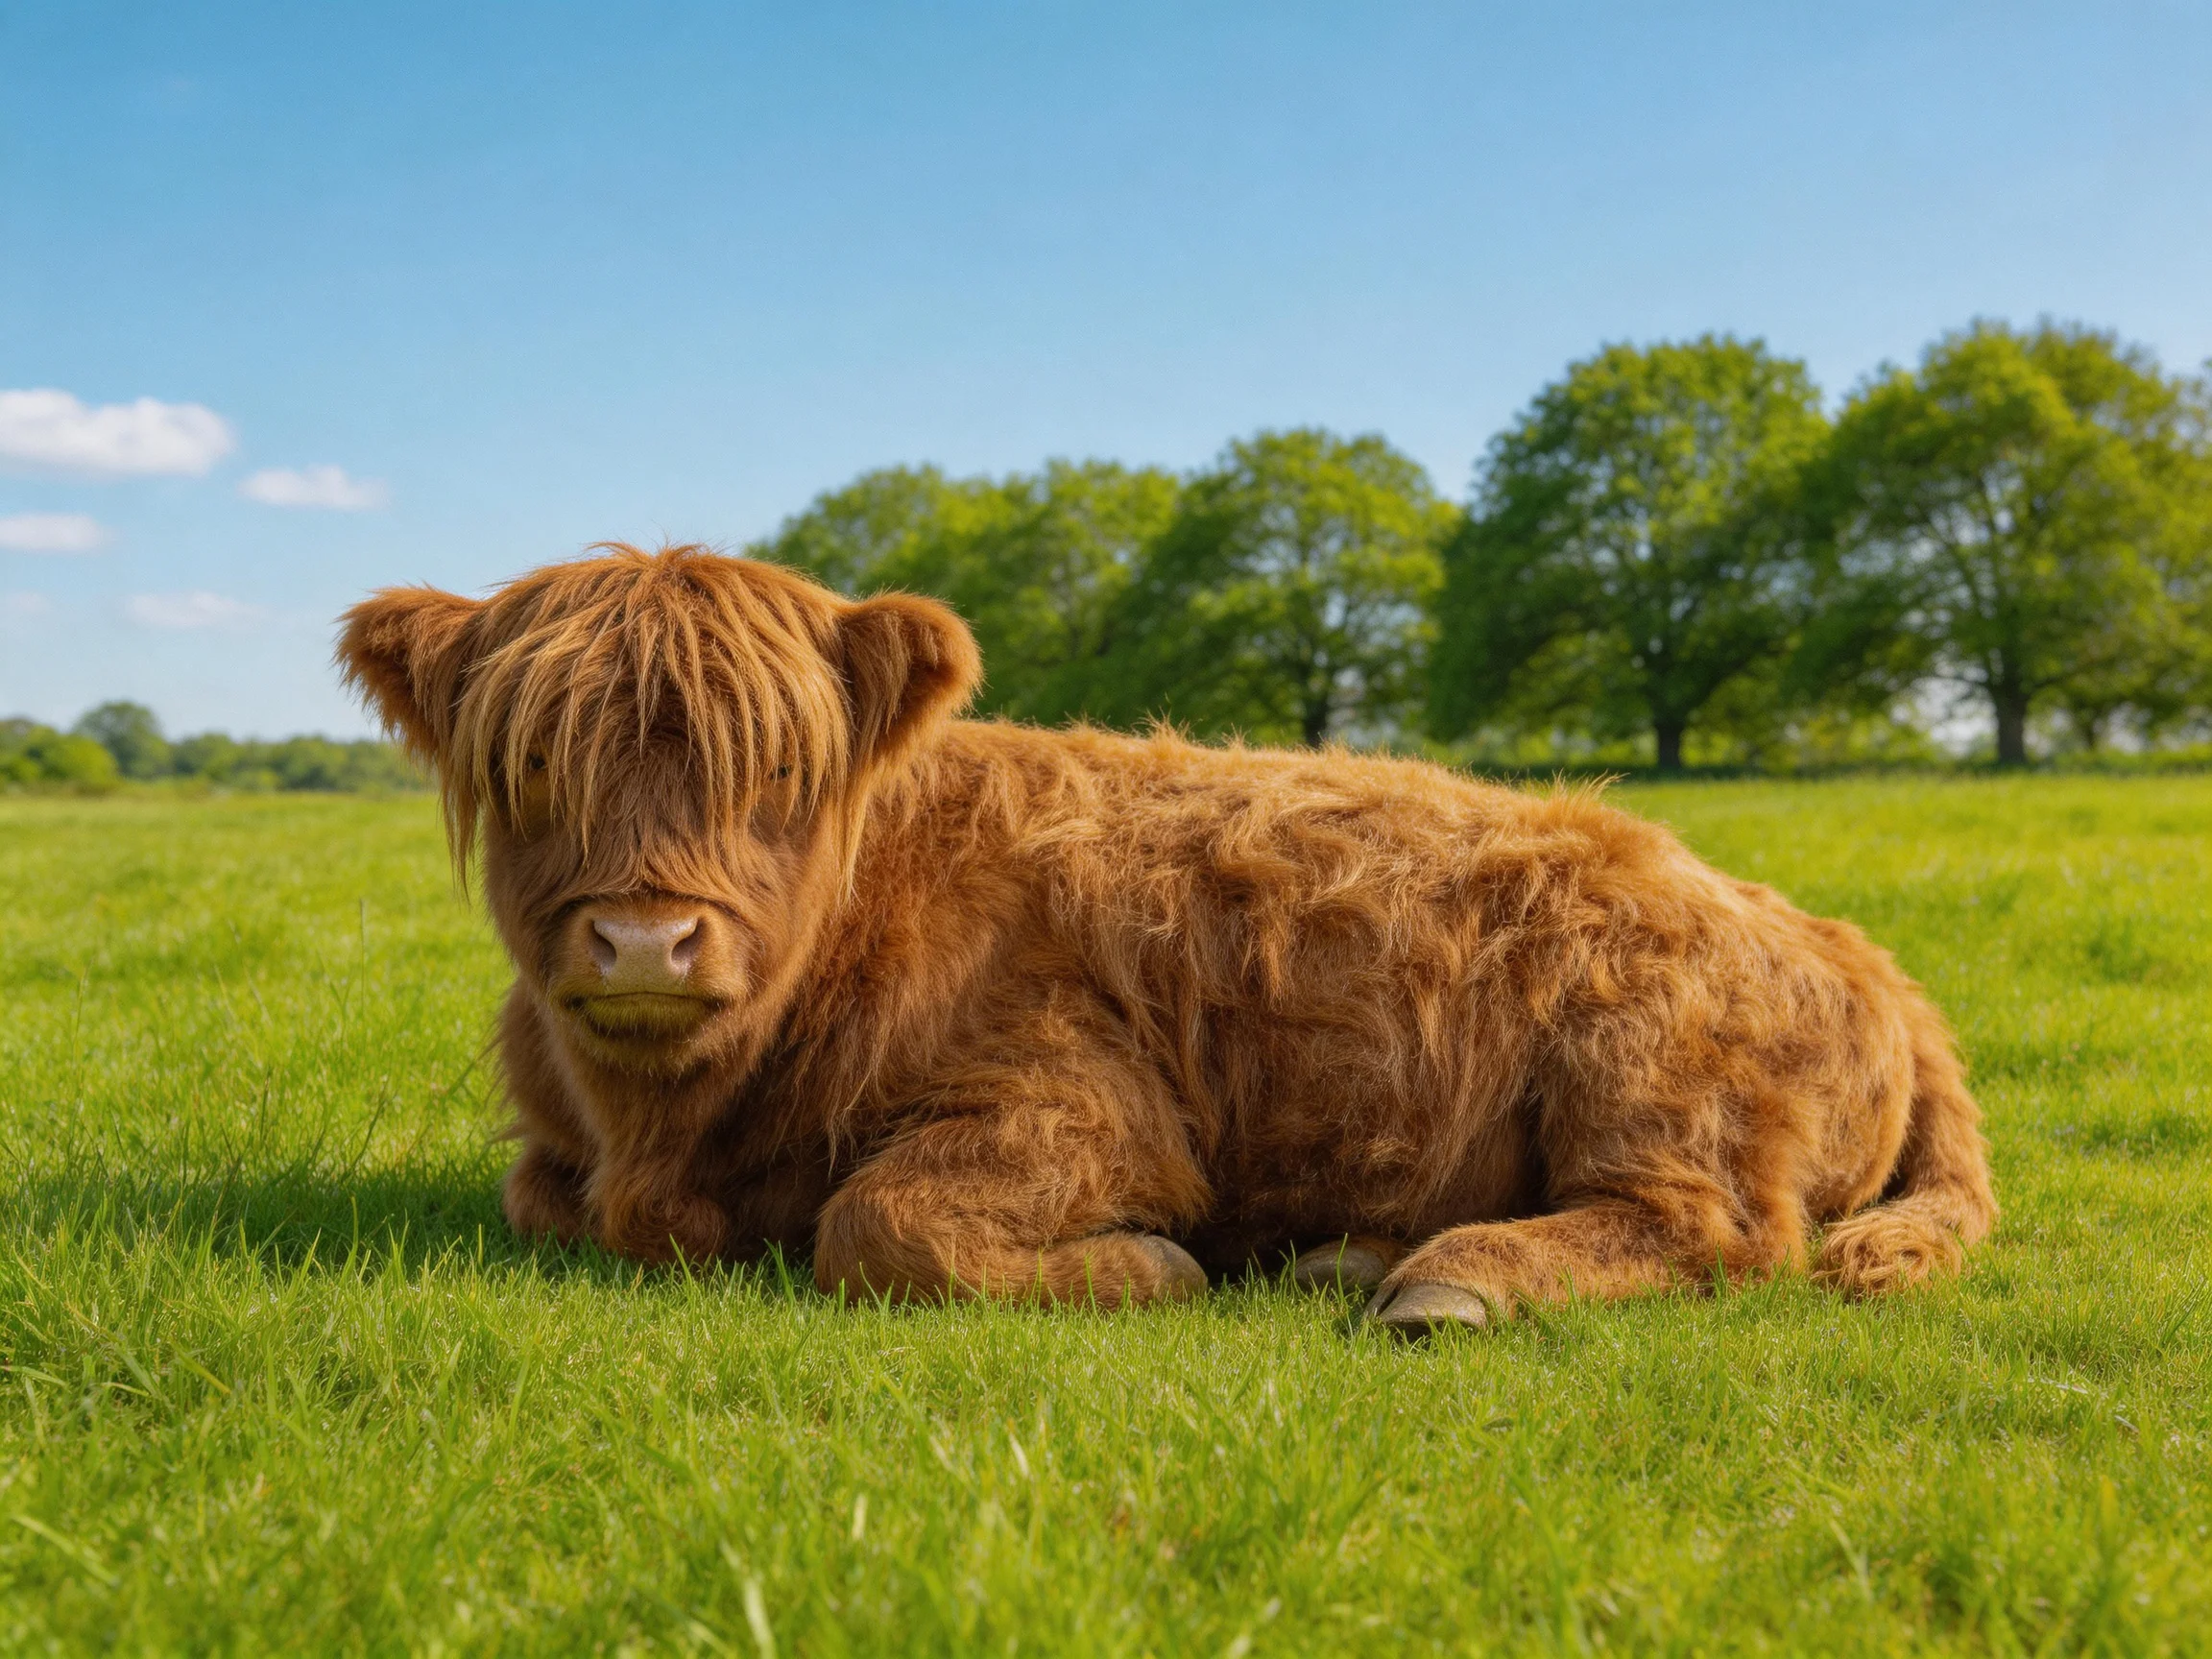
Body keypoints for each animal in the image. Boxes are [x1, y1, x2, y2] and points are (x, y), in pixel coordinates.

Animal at [337, 543, 1995, 1333]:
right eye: (529, 764)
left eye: (784, 775)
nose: (640, 942)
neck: (670, 1131)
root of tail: (1852, 945)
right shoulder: (560, 1156)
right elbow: (536, 1201)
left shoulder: (1083, 1109)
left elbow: (881, 1226)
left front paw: (1152, 1269)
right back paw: (1345, 1260)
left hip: (1650, 1063)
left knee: (1709, 1227)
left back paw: (1442, 1284)